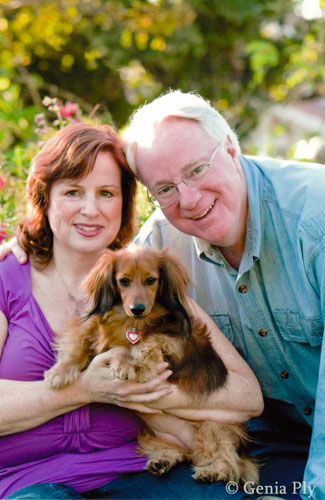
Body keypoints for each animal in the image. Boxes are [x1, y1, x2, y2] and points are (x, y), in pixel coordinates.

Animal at [44, 246, 258, 484]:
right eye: (124, 281)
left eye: (151, 280)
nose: (137, 308)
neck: (130, 321)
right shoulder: (91, 328)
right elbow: (79, 343)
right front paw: (59, 372)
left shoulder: (169, 342)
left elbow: (144, 341)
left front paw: (127, 362)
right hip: (153, 437)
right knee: (183, 454)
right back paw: (163, 460)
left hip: (215, 426)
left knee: (230, 461)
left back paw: (213, 471)